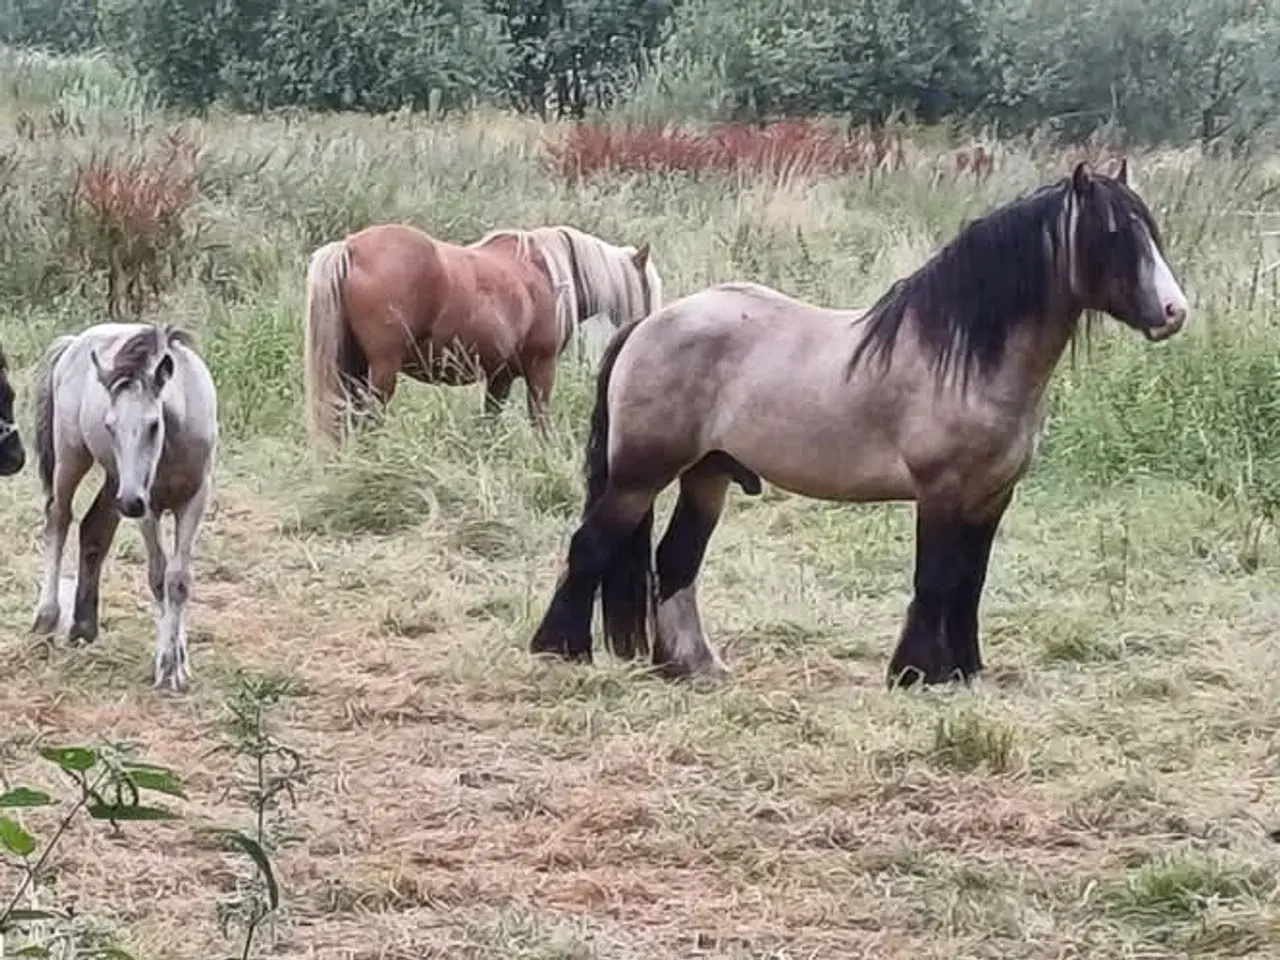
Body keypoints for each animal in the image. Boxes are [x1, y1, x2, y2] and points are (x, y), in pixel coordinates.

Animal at [31, 323, 220, 691]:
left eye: (153, 424)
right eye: (109, 426)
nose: (131, 503)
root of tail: (73, 342)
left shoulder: (194, 500)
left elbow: (179, 579)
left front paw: (180, 662)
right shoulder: (150, 505)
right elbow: (160, 577)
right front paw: (166, 666)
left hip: (115, 480)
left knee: (93, 530)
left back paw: (83, 627)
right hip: (73, 460)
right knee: (59, 518)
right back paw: (46, 617)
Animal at [299, 221, 660, 442]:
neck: (547, 274)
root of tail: (351, 248)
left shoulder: (501, 376)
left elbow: (490, 423)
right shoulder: (541, 369)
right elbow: (540, 422)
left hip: (353, 367)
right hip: (381, 370)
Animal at [529, 161, 1187, 691]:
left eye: (1149, 230)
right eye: (1113, 235)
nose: (1175, 312)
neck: (964, 358)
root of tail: (648, 324)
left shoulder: (991, 498)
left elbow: (970, 583)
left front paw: (965, 670)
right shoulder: (941, 492)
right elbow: (936, 579)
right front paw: (915, 673)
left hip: (705, 477)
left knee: (675, 560)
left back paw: (693, 666)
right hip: (641, 474)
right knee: (592, 545)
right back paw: (560, 650)